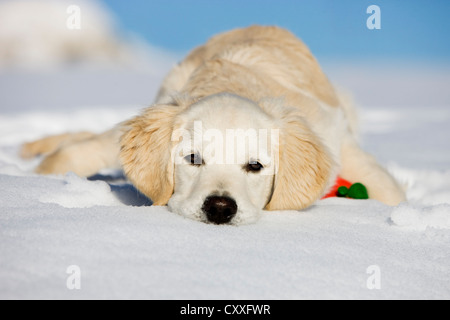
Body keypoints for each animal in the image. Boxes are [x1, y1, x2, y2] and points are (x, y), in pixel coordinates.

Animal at [22, 26, 408, 224]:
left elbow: (388, 191)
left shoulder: (337, 138)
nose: (220, 208)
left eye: (255, 166)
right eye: (193, 159)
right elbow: (74, 154)